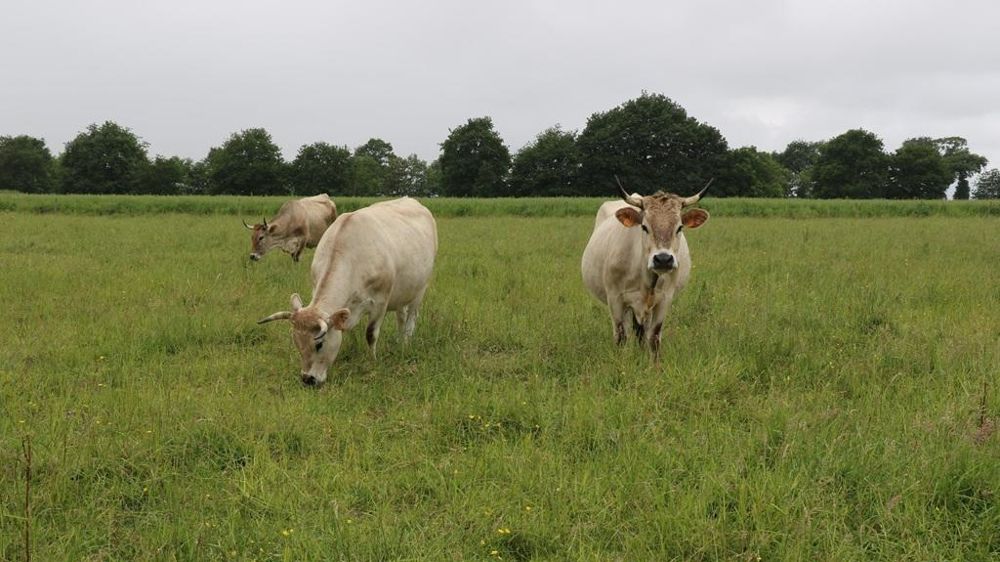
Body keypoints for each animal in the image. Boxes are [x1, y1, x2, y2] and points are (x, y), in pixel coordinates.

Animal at [257, 197, 437, 386]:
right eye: (297, 343)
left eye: (319, 344)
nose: (308, 379)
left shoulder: (380, 303)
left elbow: (371, 334)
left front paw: (372, 360)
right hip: (403, 293)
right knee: (401, 316)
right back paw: (399, 339)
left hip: (420, 290)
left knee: (411, 318)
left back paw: (406, 342)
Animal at [581, 180, 710, 361]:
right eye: (644, 226)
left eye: (679, 227)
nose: (663, 259)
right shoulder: (615, 299)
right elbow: (621, 337)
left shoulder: (664, 300)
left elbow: (654, 337)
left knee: (641, 332)